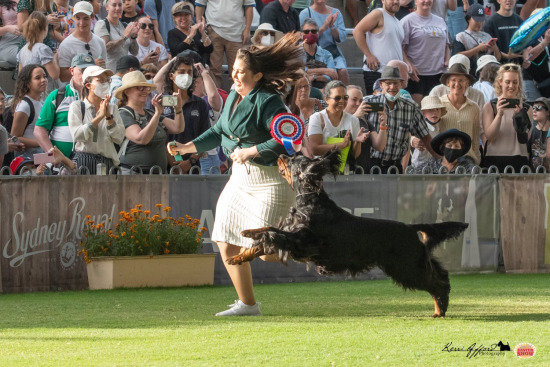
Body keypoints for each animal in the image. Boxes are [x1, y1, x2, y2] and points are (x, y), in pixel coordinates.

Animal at [229, 151, 470, 318]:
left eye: (292, 160)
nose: (280, 155)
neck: (311, 201)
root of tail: (411, 227)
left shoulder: (302, 242)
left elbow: (270, 234)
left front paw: (246, 238)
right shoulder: (294, 237)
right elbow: (266, 234)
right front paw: (238, 254)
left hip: (408, 267)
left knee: (438, 284)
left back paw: (440, 310)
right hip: (414, 262)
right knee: (442, 275)